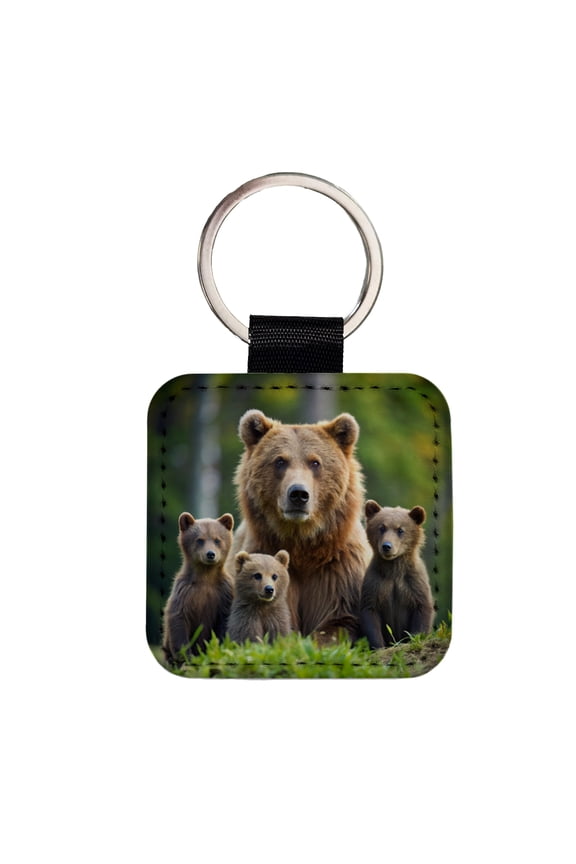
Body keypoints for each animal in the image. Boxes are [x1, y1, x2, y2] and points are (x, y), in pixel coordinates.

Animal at [162, 512, 234, 664]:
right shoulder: (184, 592)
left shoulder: (224, 594)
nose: (210, 554)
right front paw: (185, 656)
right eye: (200, 540)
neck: (205, 577)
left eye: (217, 540)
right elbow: (178, 619)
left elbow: (224, 622)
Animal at [233, 409, 371, 640]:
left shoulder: (338, 569)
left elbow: (338, 620)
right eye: (280, 461)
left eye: (315, 462)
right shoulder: (265, 557)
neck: (302, 545)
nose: (298, 494)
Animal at [360, 500, 435, 649]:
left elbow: (422, 609)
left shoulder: (413, 582)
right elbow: (370, 613)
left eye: (400, 530)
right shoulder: (375, 583)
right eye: (381, 527)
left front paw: (415, 638)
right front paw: (378, 646)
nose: (387, 546)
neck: (394, 569)